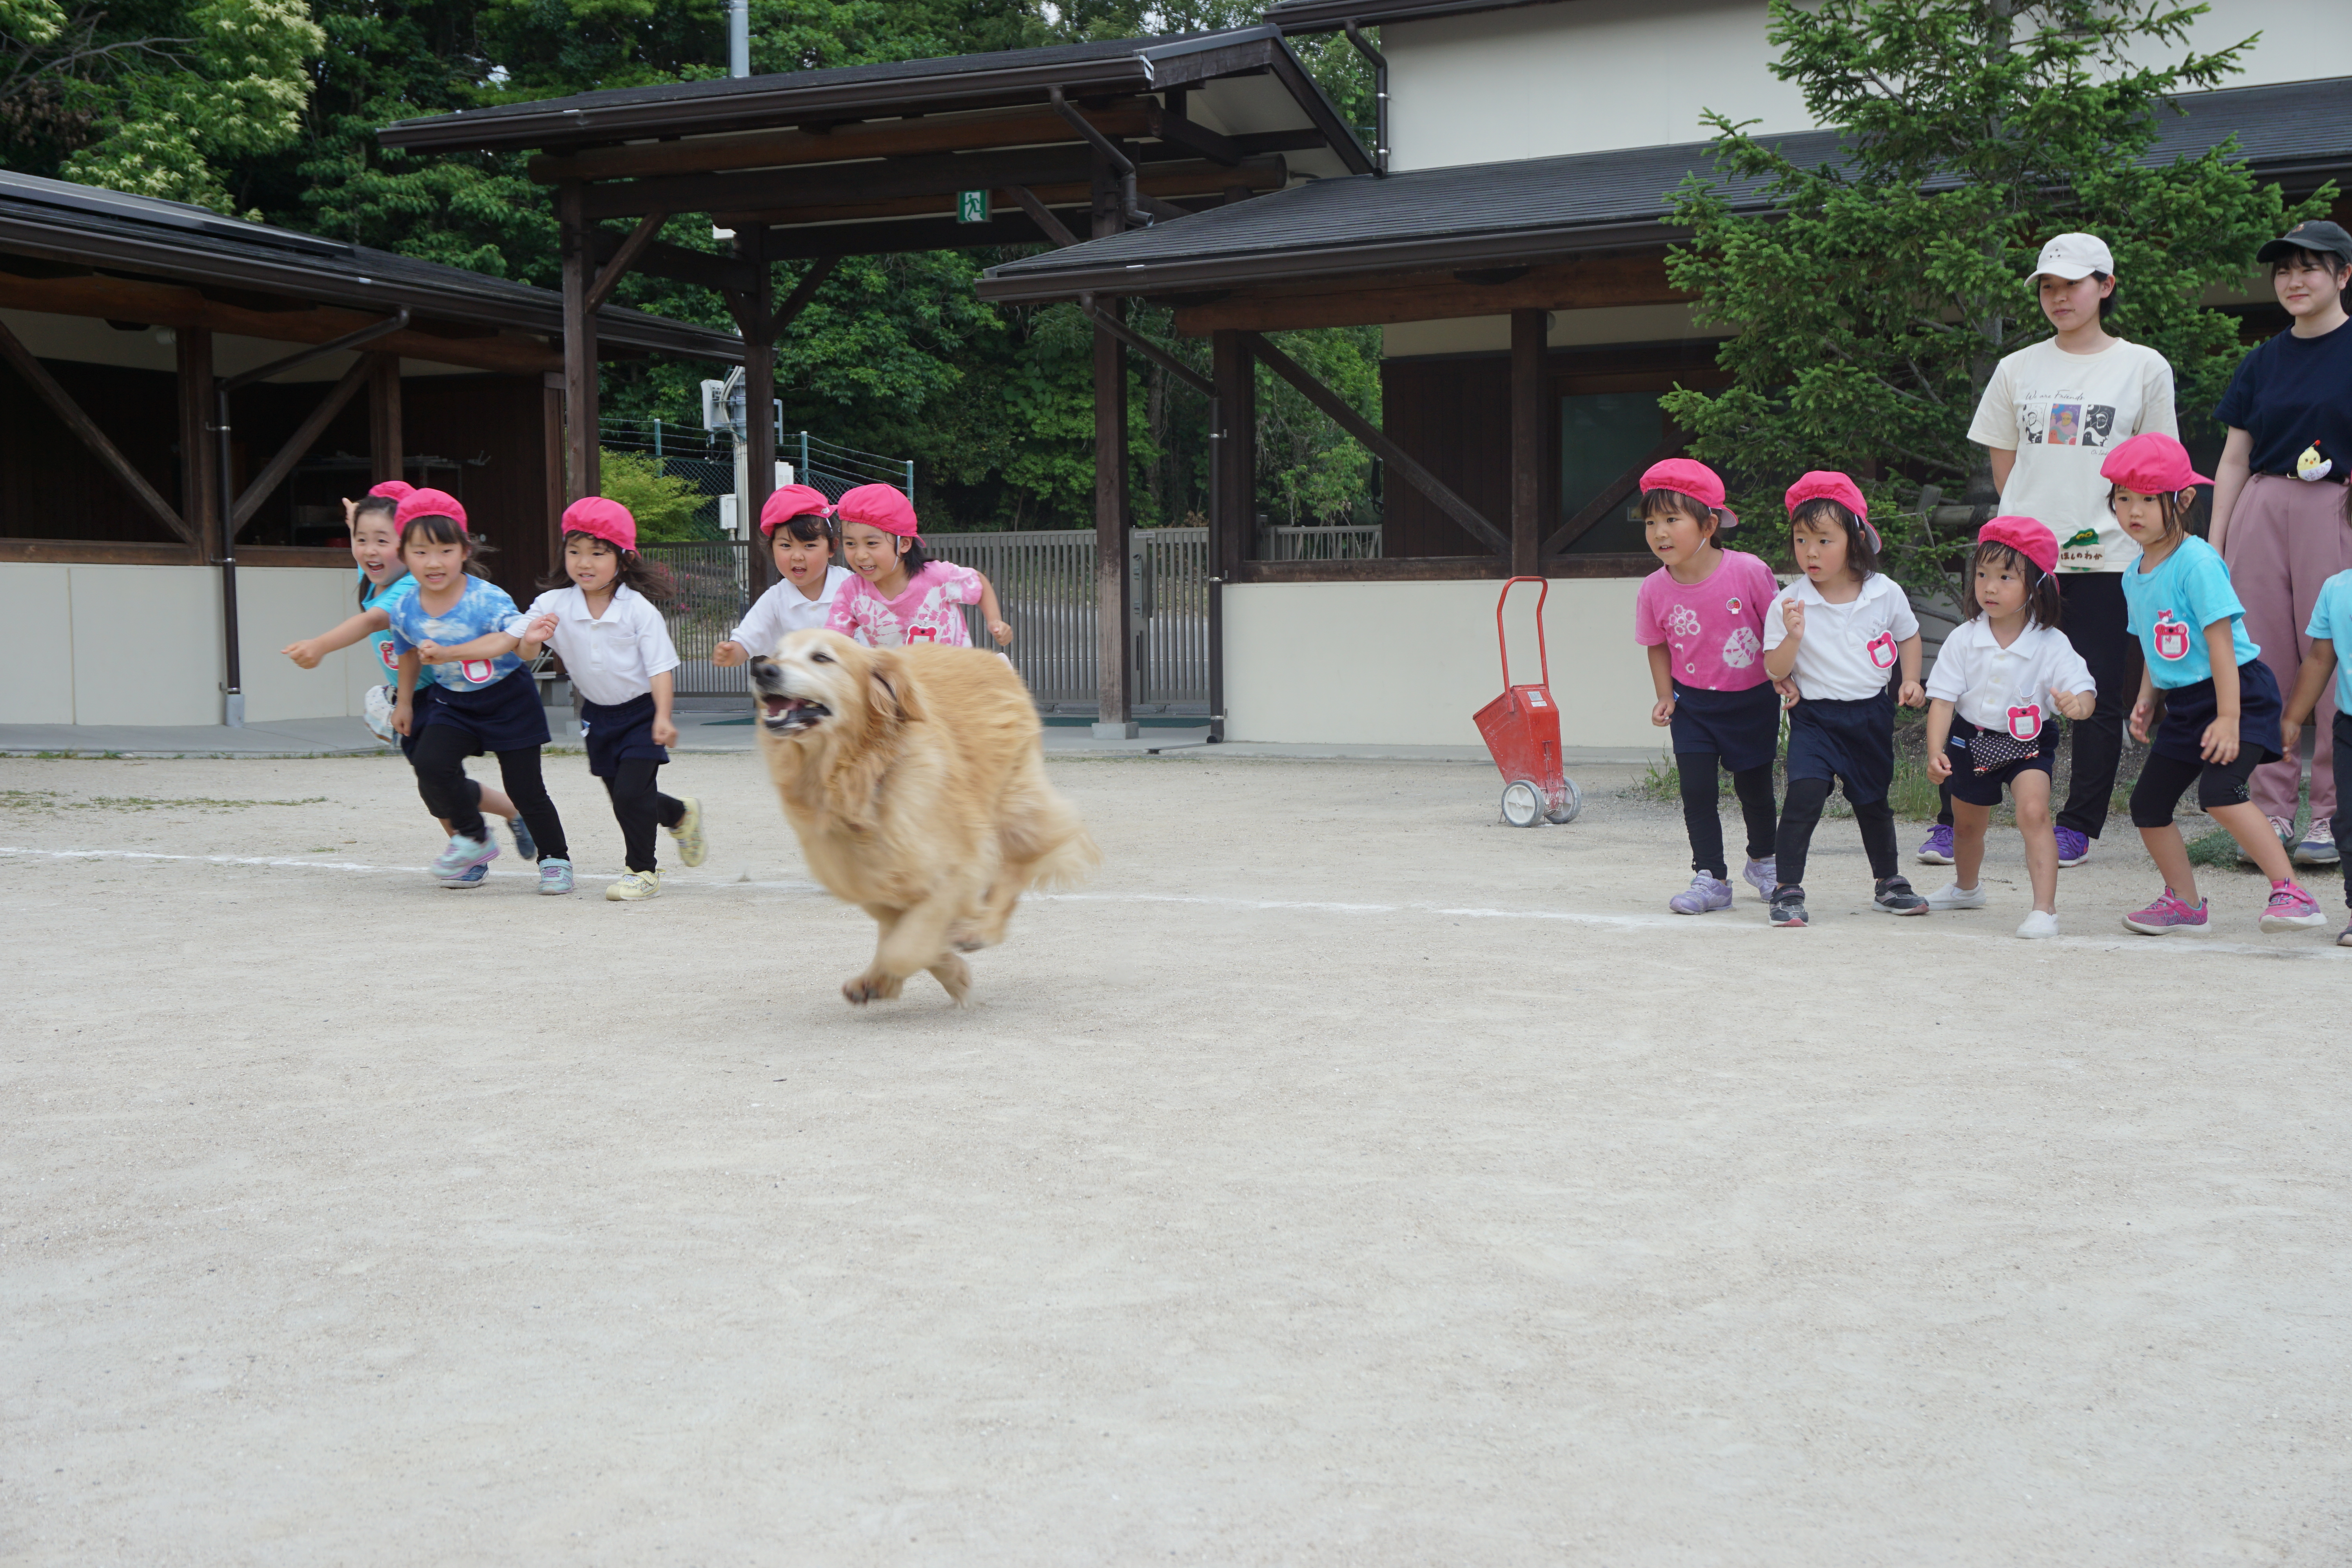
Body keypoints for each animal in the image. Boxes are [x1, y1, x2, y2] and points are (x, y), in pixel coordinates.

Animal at [748, 630, 1096, 1011]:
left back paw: (980, 930)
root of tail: (991, 658)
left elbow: (905, 947)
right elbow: (899, 929)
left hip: (1013, 802)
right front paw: (908, 976)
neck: (858, 778)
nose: (762, 668)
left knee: (1016, 867)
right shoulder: (863, 875)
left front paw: (939, 971)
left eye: (822, 658)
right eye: (777, 653)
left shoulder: (962, 862)